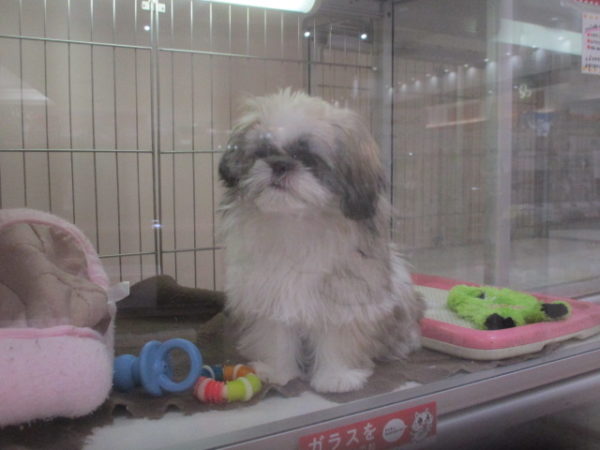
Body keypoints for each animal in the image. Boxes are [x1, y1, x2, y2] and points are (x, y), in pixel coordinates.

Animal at [218, 89, 424, 393]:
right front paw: (278, 370)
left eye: (308, 158)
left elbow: (338, 336)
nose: (280, 165)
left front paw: (336, 376)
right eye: (262, 152)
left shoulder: (346, 293)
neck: (296, 222)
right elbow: (276, 334)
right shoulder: (272, 292)